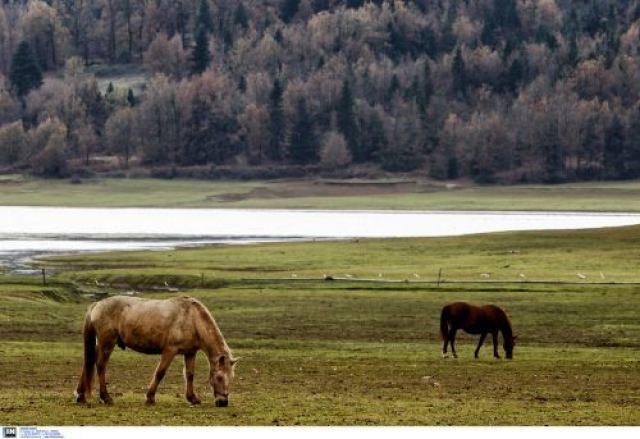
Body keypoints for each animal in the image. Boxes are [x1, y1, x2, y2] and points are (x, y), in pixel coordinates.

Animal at [73, 298, 238, 408]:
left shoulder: (190, 353)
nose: (223, 402)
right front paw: (150, 398)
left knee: (88, 362)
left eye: (231, 377)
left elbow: (190, 375)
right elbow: (160, 373)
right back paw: (106, 397)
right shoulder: (170, 351)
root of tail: (97, 304)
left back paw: (81, 396)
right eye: (219, 377)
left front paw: (192, 398)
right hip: (107, 342)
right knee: (100, 365)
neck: (192, 318)